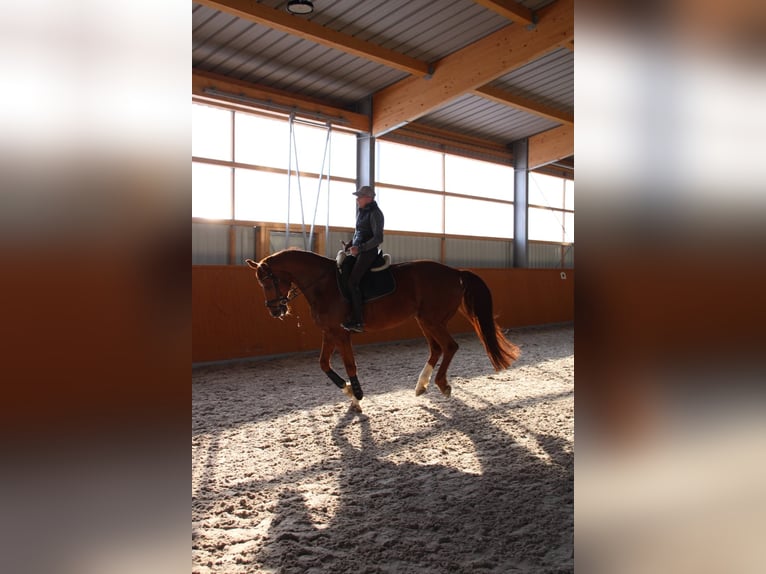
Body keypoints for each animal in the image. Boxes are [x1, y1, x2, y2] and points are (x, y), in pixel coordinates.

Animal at [245, 249, 520, 412]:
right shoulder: (329, 333)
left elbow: (350, 365)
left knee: (449, 346)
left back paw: (442, 385)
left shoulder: (341, 333)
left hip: (432, 320)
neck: (323, 284)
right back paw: (421, 386)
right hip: (425, 320)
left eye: (267, 282)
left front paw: (357, 395)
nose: (275, 311)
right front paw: (348, 391)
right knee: (436, 349)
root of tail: (454, 272)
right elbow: (323, 364)